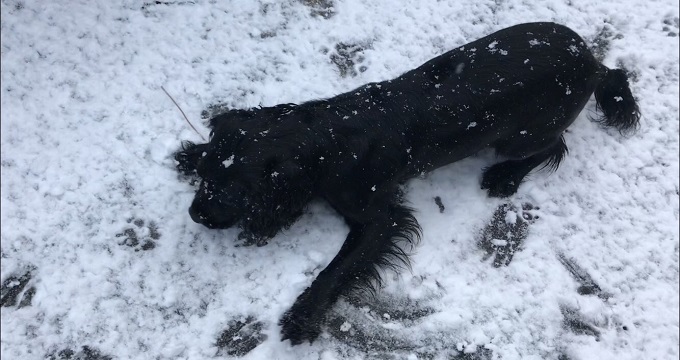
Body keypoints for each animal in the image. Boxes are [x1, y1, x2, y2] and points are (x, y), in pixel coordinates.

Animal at [174, 21, 636, 344]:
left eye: (237, 191)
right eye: (209, 175)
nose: (196, 214)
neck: (327, 138)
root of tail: (596, 64)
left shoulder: (379, 216)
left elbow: (337, 269)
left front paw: (302, 315)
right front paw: (191, 153)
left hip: (521, 134)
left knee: (554, 146)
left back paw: (504, 177)